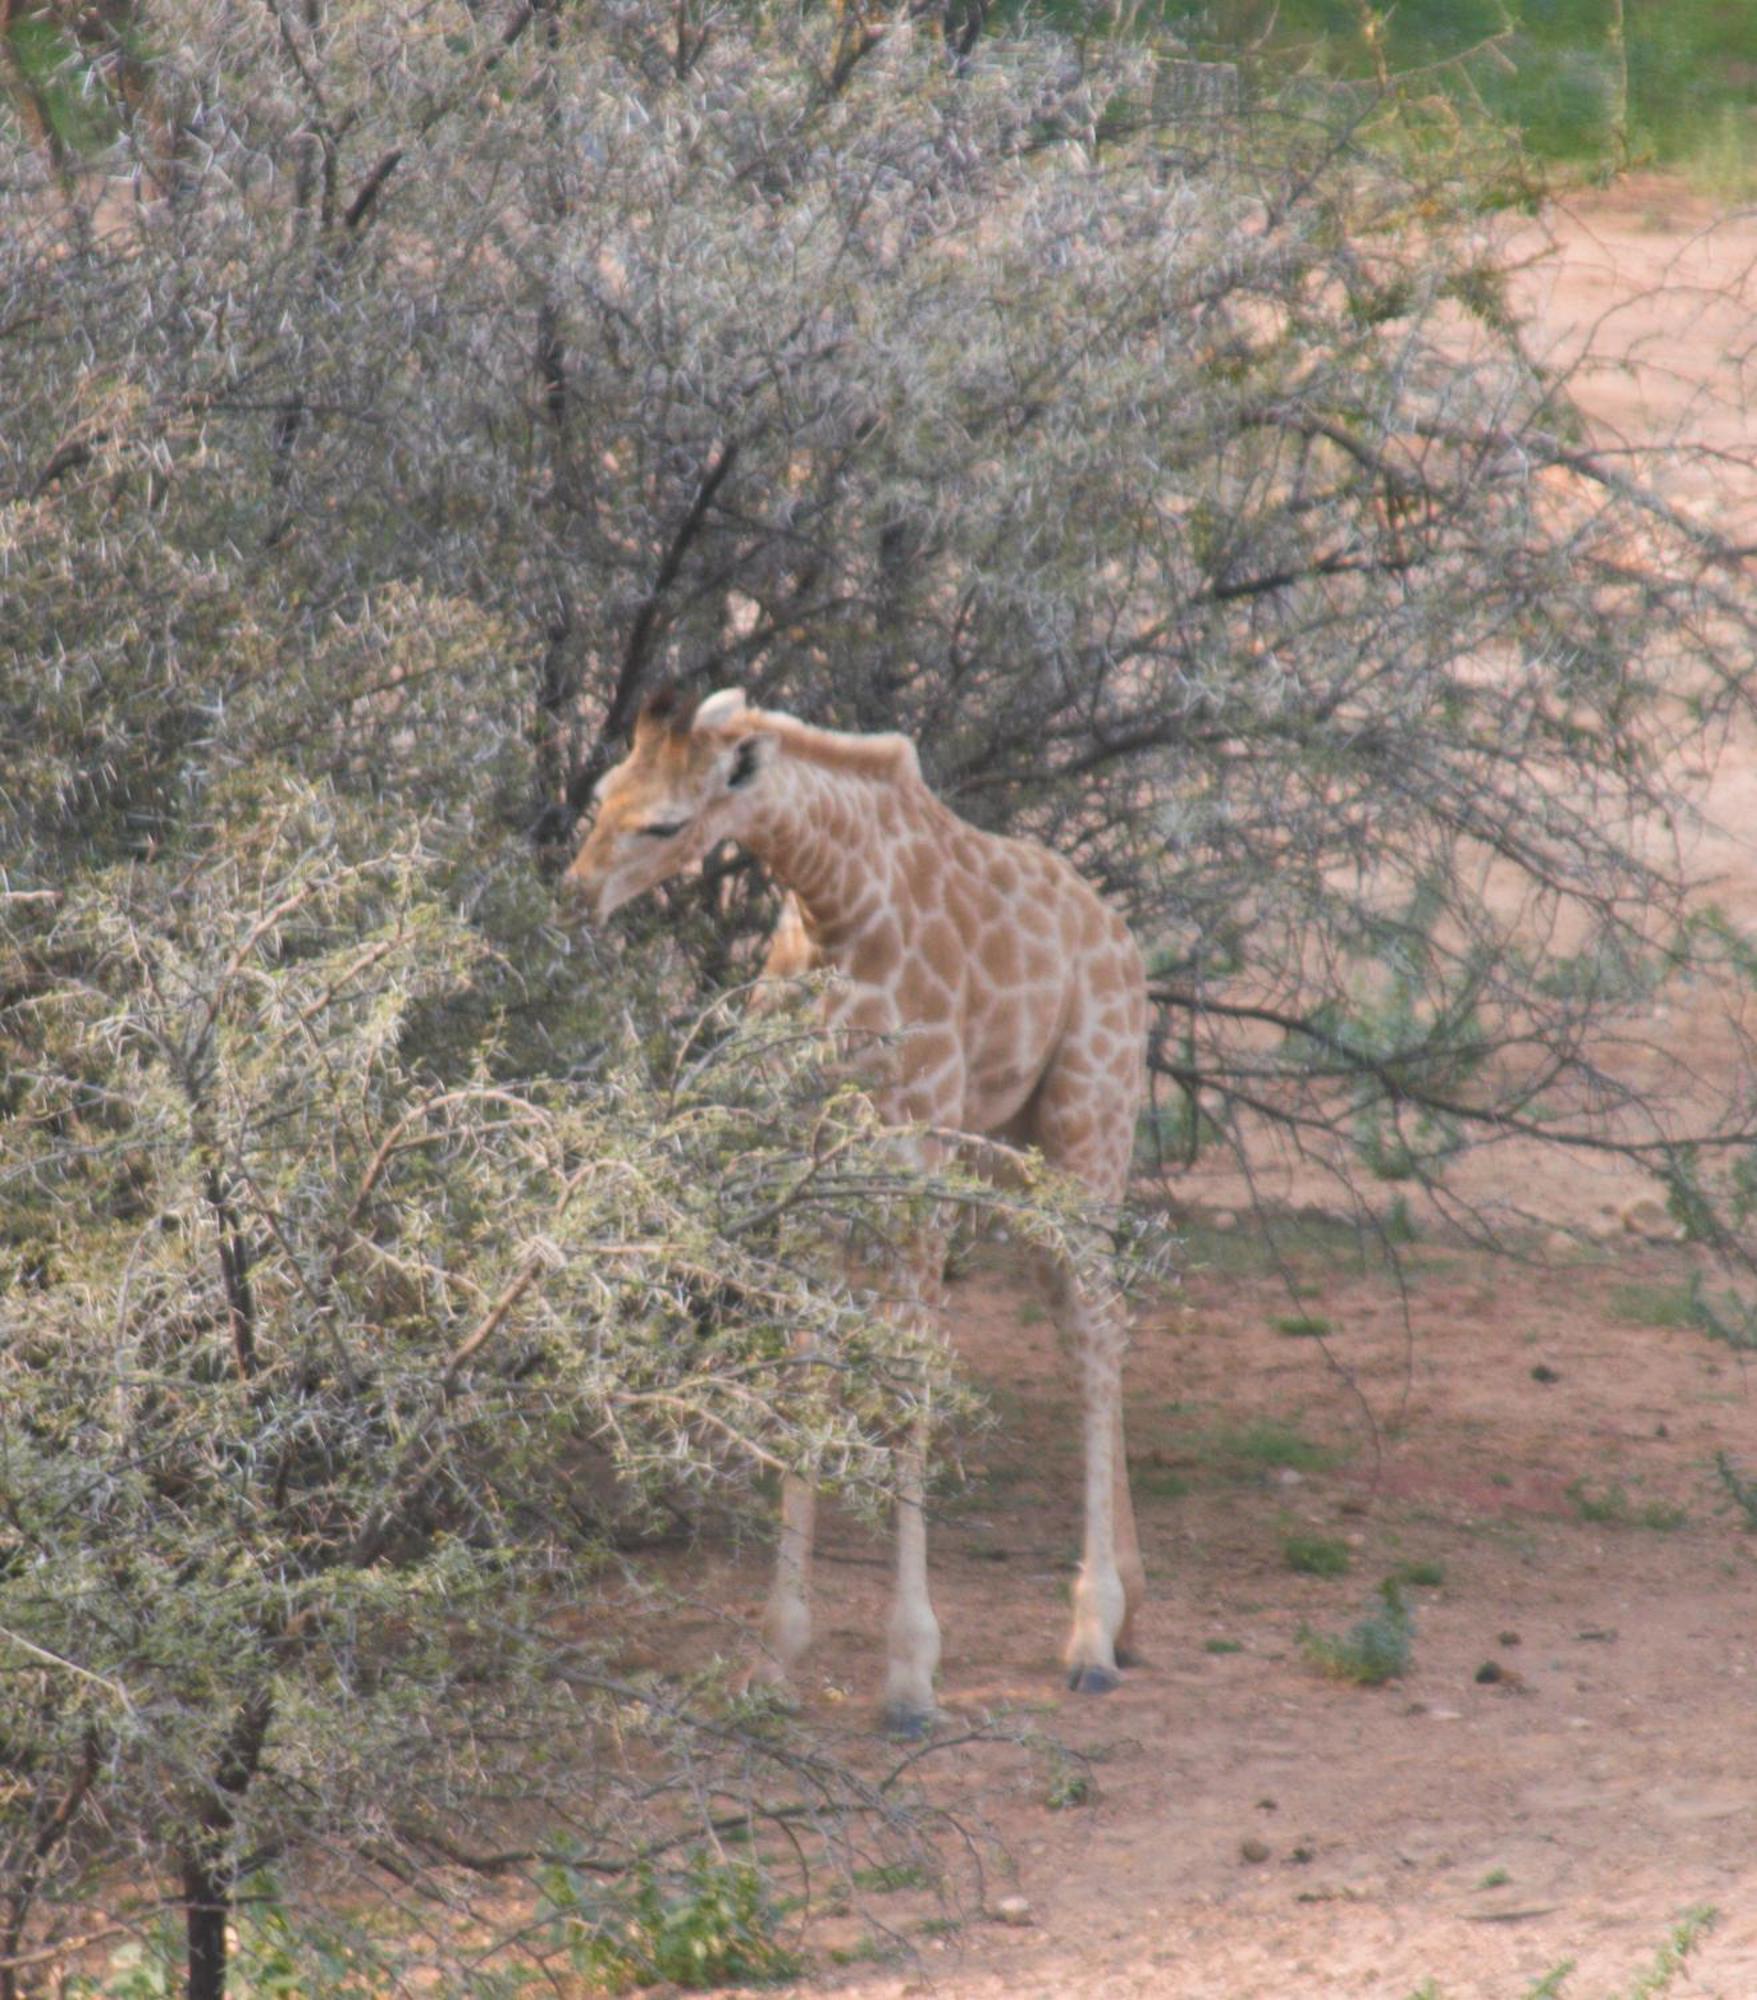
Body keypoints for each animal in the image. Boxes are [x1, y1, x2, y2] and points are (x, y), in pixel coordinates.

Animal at [568, 688, 1152, 1736]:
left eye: (665, 824)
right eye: (601, 792)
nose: (573, 893)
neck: (836, 905)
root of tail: (1118, 935)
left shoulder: (912, 1167)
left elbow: (909, 1387)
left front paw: (911, 1677)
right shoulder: (808, 1173)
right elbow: (807, 1380)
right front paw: (773, 1657)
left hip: (1089, 1121)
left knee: (1094, 1328)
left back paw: (1090, 1639)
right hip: (1015, 1147)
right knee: (1087, 1321)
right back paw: (1124, 1613)